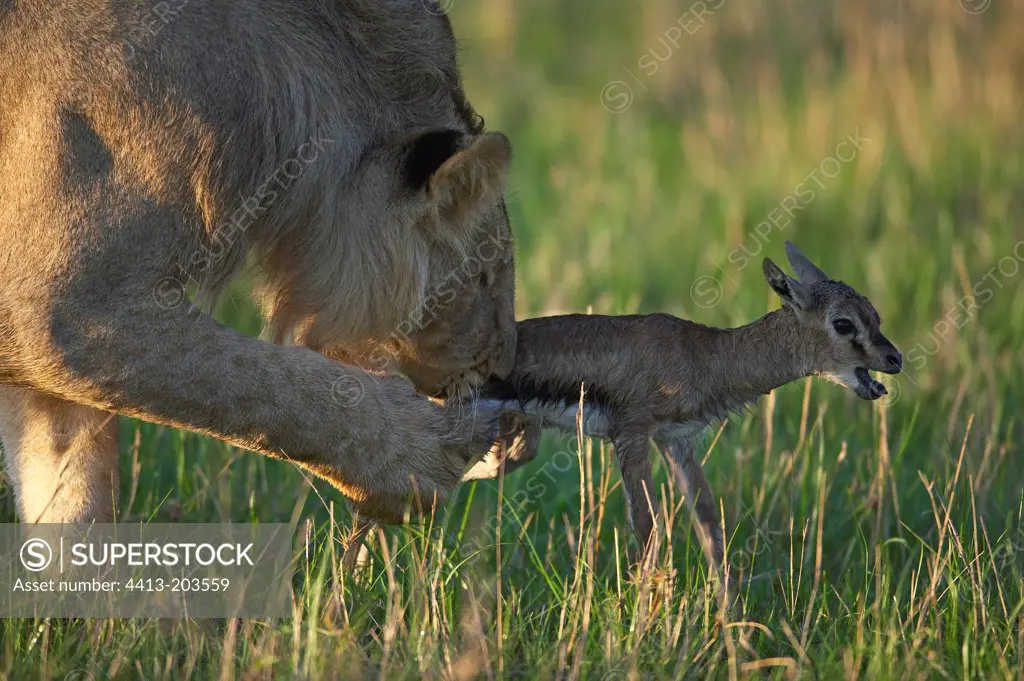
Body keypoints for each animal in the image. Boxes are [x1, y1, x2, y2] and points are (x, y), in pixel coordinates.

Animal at [0, 0, 532, 522]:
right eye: (483, 276)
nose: (503, 365)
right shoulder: (63, 306)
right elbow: (263, 386)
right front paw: (418, 459)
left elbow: (72, 494)